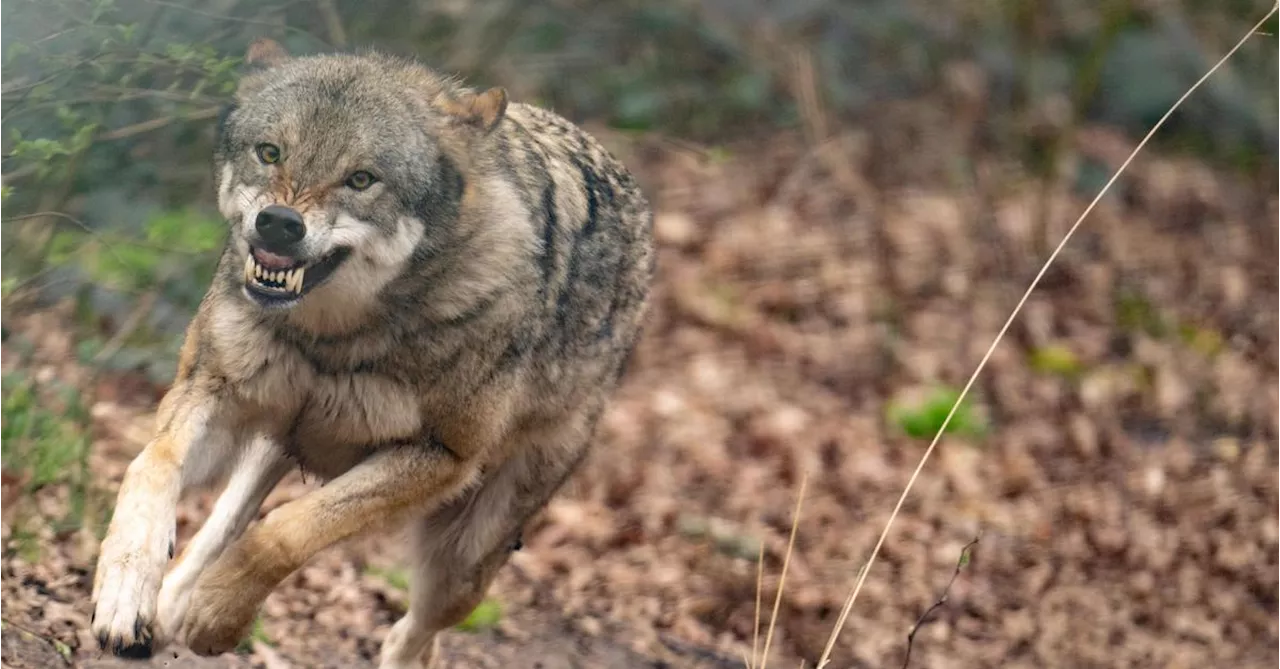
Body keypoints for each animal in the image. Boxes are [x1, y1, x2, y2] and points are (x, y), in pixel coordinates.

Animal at [90, 39, 655, 665]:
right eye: (270, 152)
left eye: (361, 179)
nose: (279, 223)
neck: (332, 339)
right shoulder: (213, 389)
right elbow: (151, 466)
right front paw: (125, 594)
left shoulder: (439, 459)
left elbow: (286, 532)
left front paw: (218, 618)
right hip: (278, 442)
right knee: (220, 527)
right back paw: (165, 610)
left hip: (460, 567)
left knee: (411, 637)